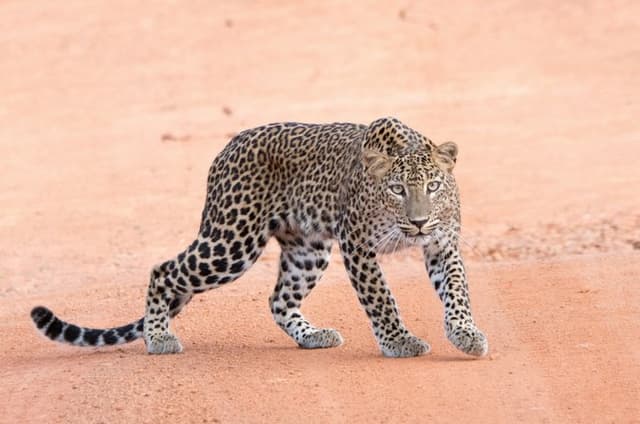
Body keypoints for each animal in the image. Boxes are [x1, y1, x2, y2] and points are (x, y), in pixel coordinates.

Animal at [31, 116, 488, 358]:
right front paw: (400, 341)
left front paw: (466, 334)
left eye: (433, 186)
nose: (418, 222)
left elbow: (458, 292)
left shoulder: (442, 244)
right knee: (163, 270)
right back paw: (159, 337)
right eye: (396, 190)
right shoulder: (358, 245)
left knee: (279, 300)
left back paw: (312, 336)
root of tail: (227, 147)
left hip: (308, 251)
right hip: (231, 242)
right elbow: (381, 299)